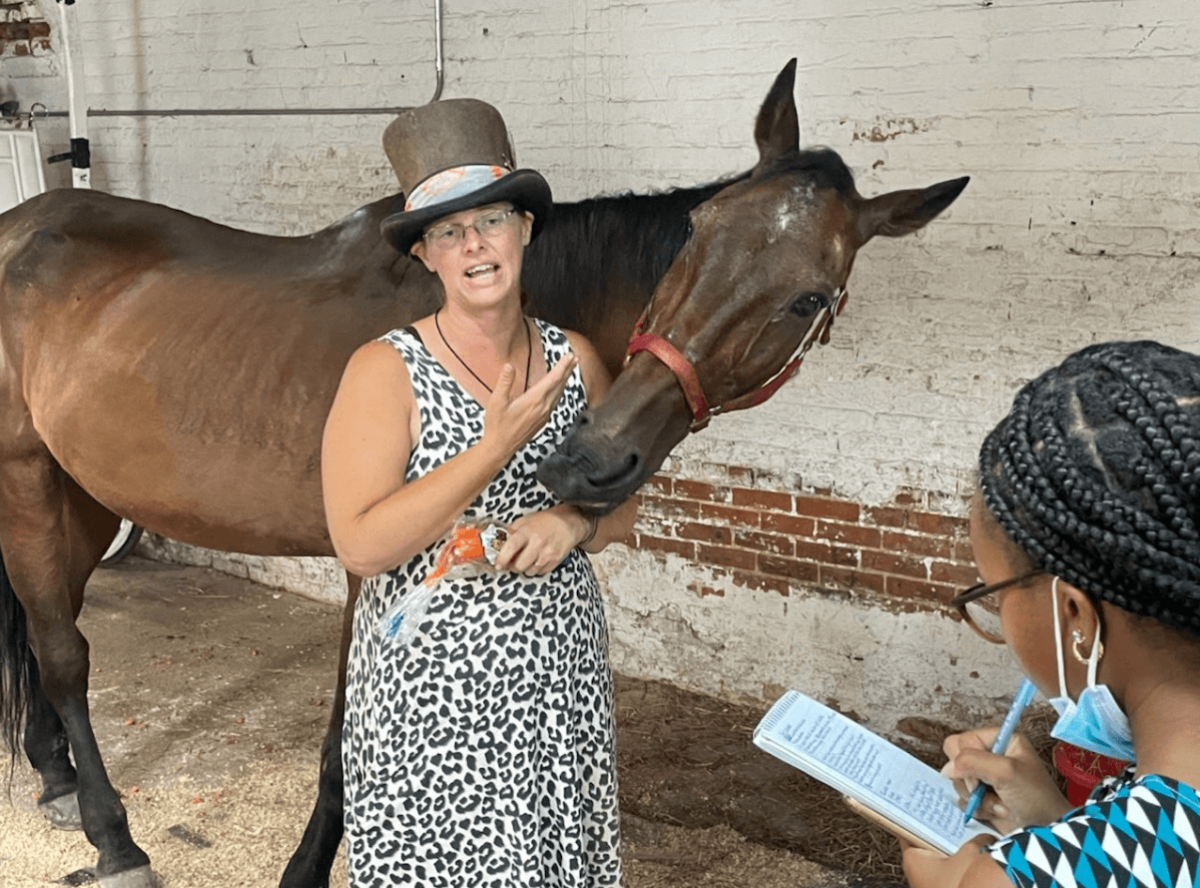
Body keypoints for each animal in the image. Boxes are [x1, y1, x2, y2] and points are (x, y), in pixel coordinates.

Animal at [0, 60, 967, 888]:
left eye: (808, 299)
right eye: (698, 230)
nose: (591, 457)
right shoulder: (372, 564)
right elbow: (342, 745)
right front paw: (305, 869)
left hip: (82, 495)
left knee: (43, 631)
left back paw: (55, 777)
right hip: (30, 483)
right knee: (65, 656)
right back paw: (113, 837)